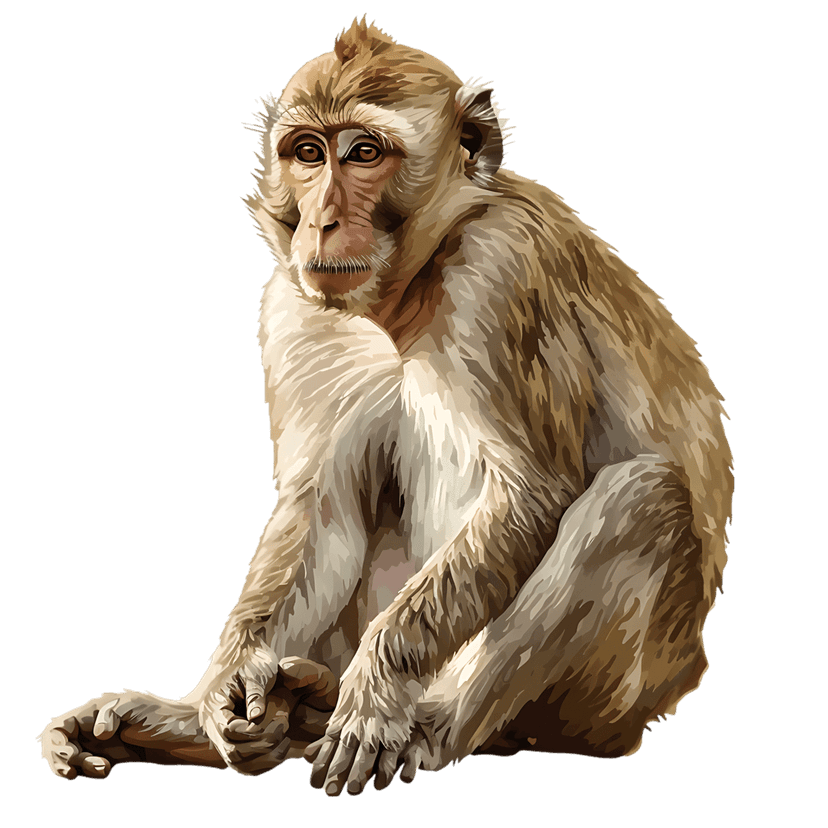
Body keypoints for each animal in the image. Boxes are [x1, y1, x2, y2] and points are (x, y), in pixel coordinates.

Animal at [39, 18, 733, 796]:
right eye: (308, 153)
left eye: (365, 153)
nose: (321, 221)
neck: (404, 301)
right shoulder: (294, 307)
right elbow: (323, 507)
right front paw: (219, 701)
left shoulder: (503, 270)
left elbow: (532, 493)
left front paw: (376, 690)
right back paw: (265, 709)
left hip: (614, 699)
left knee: (645, 498)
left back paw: (432, 725)